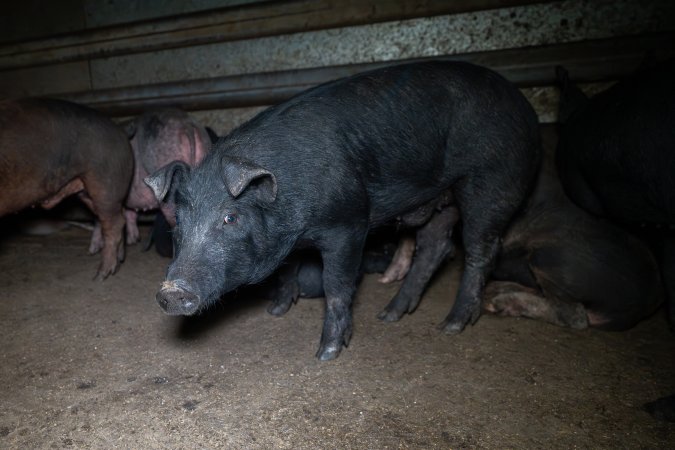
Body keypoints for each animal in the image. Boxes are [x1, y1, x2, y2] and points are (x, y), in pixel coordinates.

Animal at [0, 99, 133, 278]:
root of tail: (120, 129)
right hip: (87, 190)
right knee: (119, 216)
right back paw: (118, 261)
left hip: (106, 180)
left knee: (115, 222)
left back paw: (101, 275)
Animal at [149, 61, 544, 360]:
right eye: (177, 221)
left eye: (230, 218)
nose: (171, 291)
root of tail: (524, 106)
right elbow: (287, 272)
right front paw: (276, 311)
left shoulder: (348, 223)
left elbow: (336, 284)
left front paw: (326, 353)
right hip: (437, 197)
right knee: (436, 247)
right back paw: (390, 315)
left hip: (493, 179)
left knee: (481, 248)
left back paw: (450, 325)